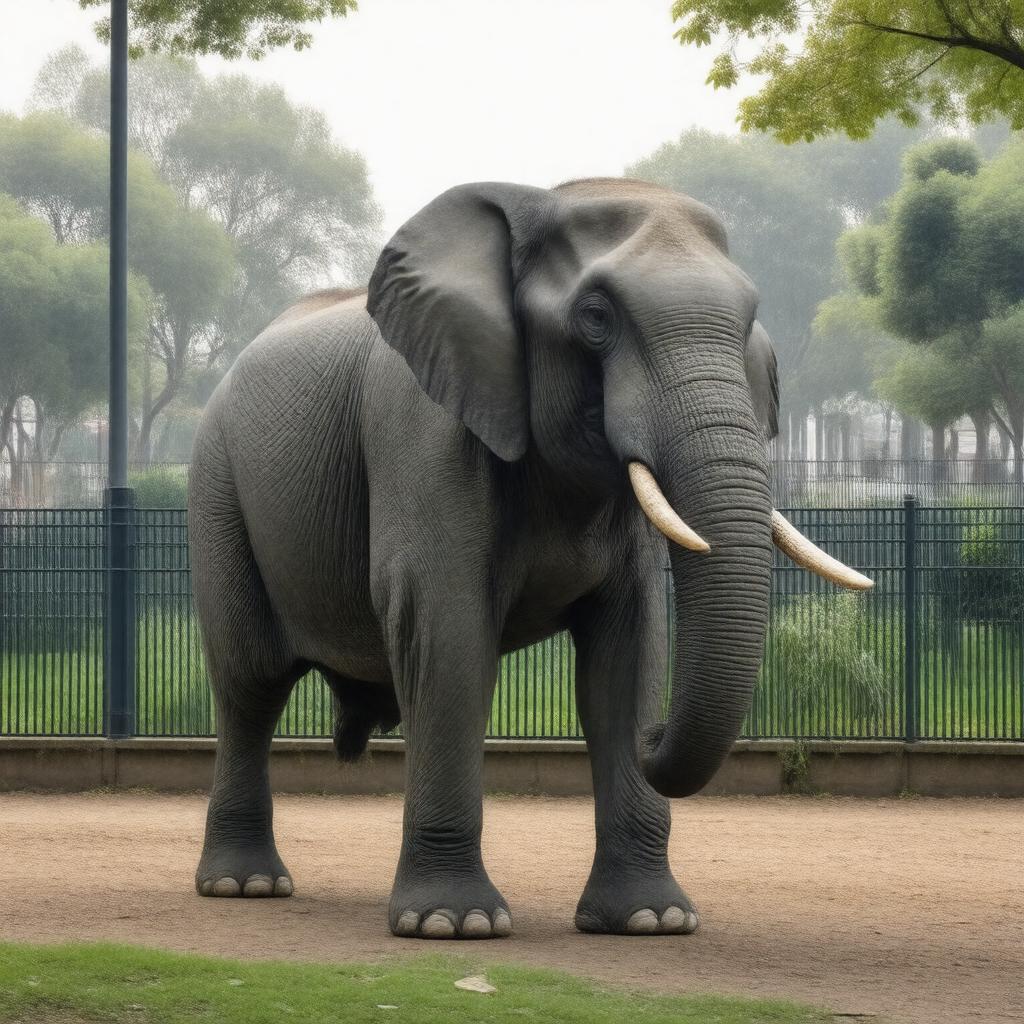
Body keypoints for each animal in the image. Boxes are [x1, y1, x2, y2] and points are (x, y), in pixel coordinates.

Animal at [188, 177, 870, 940]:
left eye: (750, 317)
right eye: (597, 317)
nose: (656, 732)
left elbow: (627, 650)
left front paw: (651, 919)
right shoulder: (421, 426)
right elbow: (448, 633)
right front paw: (453, 926)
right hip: (217, 487)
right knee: (250, 683)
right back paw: (245, 885)